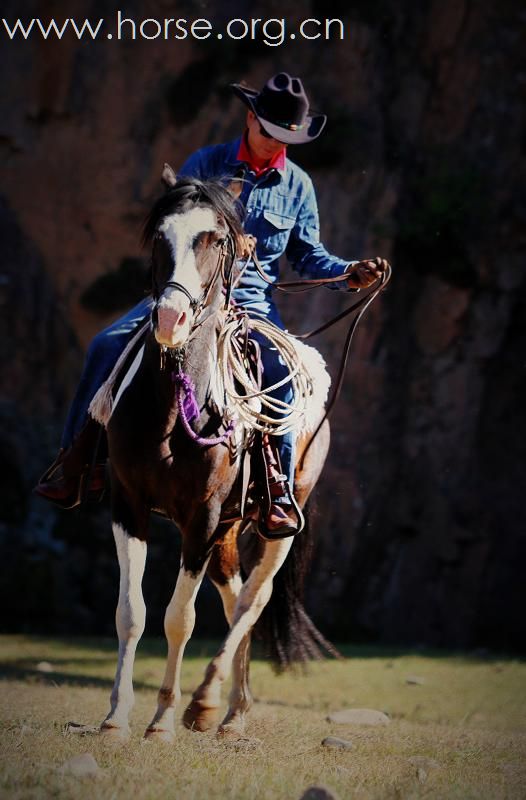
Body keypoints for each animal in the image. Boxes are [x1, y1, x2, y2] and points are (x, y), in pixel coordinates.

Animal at [94, 170, 334, 744]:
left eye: (216, 240)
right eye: (159, 236)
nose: (170, 318)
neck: (171, 406)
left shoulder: (199, 520)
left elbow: (179, 618)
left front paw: (161, 720)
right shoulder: (128, 506)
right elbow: (131, 613)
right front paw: (115, 716)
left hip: (276, 521)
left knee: (255, 600)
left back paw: (206, 701)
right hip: (227, 528)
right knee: (235, 597)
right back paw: (231, 710)